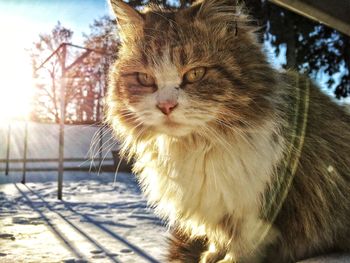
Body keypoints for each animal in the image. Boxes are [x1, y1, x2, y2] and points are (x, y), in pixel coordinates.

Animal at [106, 1, 350, 262]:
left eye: (195, 73)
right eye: (144, 78)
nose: (166, 106)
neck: (198, 147)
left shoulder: (258, 209)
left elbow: (243, 245)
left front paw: (227, 258)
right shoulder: (216, 208)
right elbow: (218, 239)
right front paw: (211, 255)